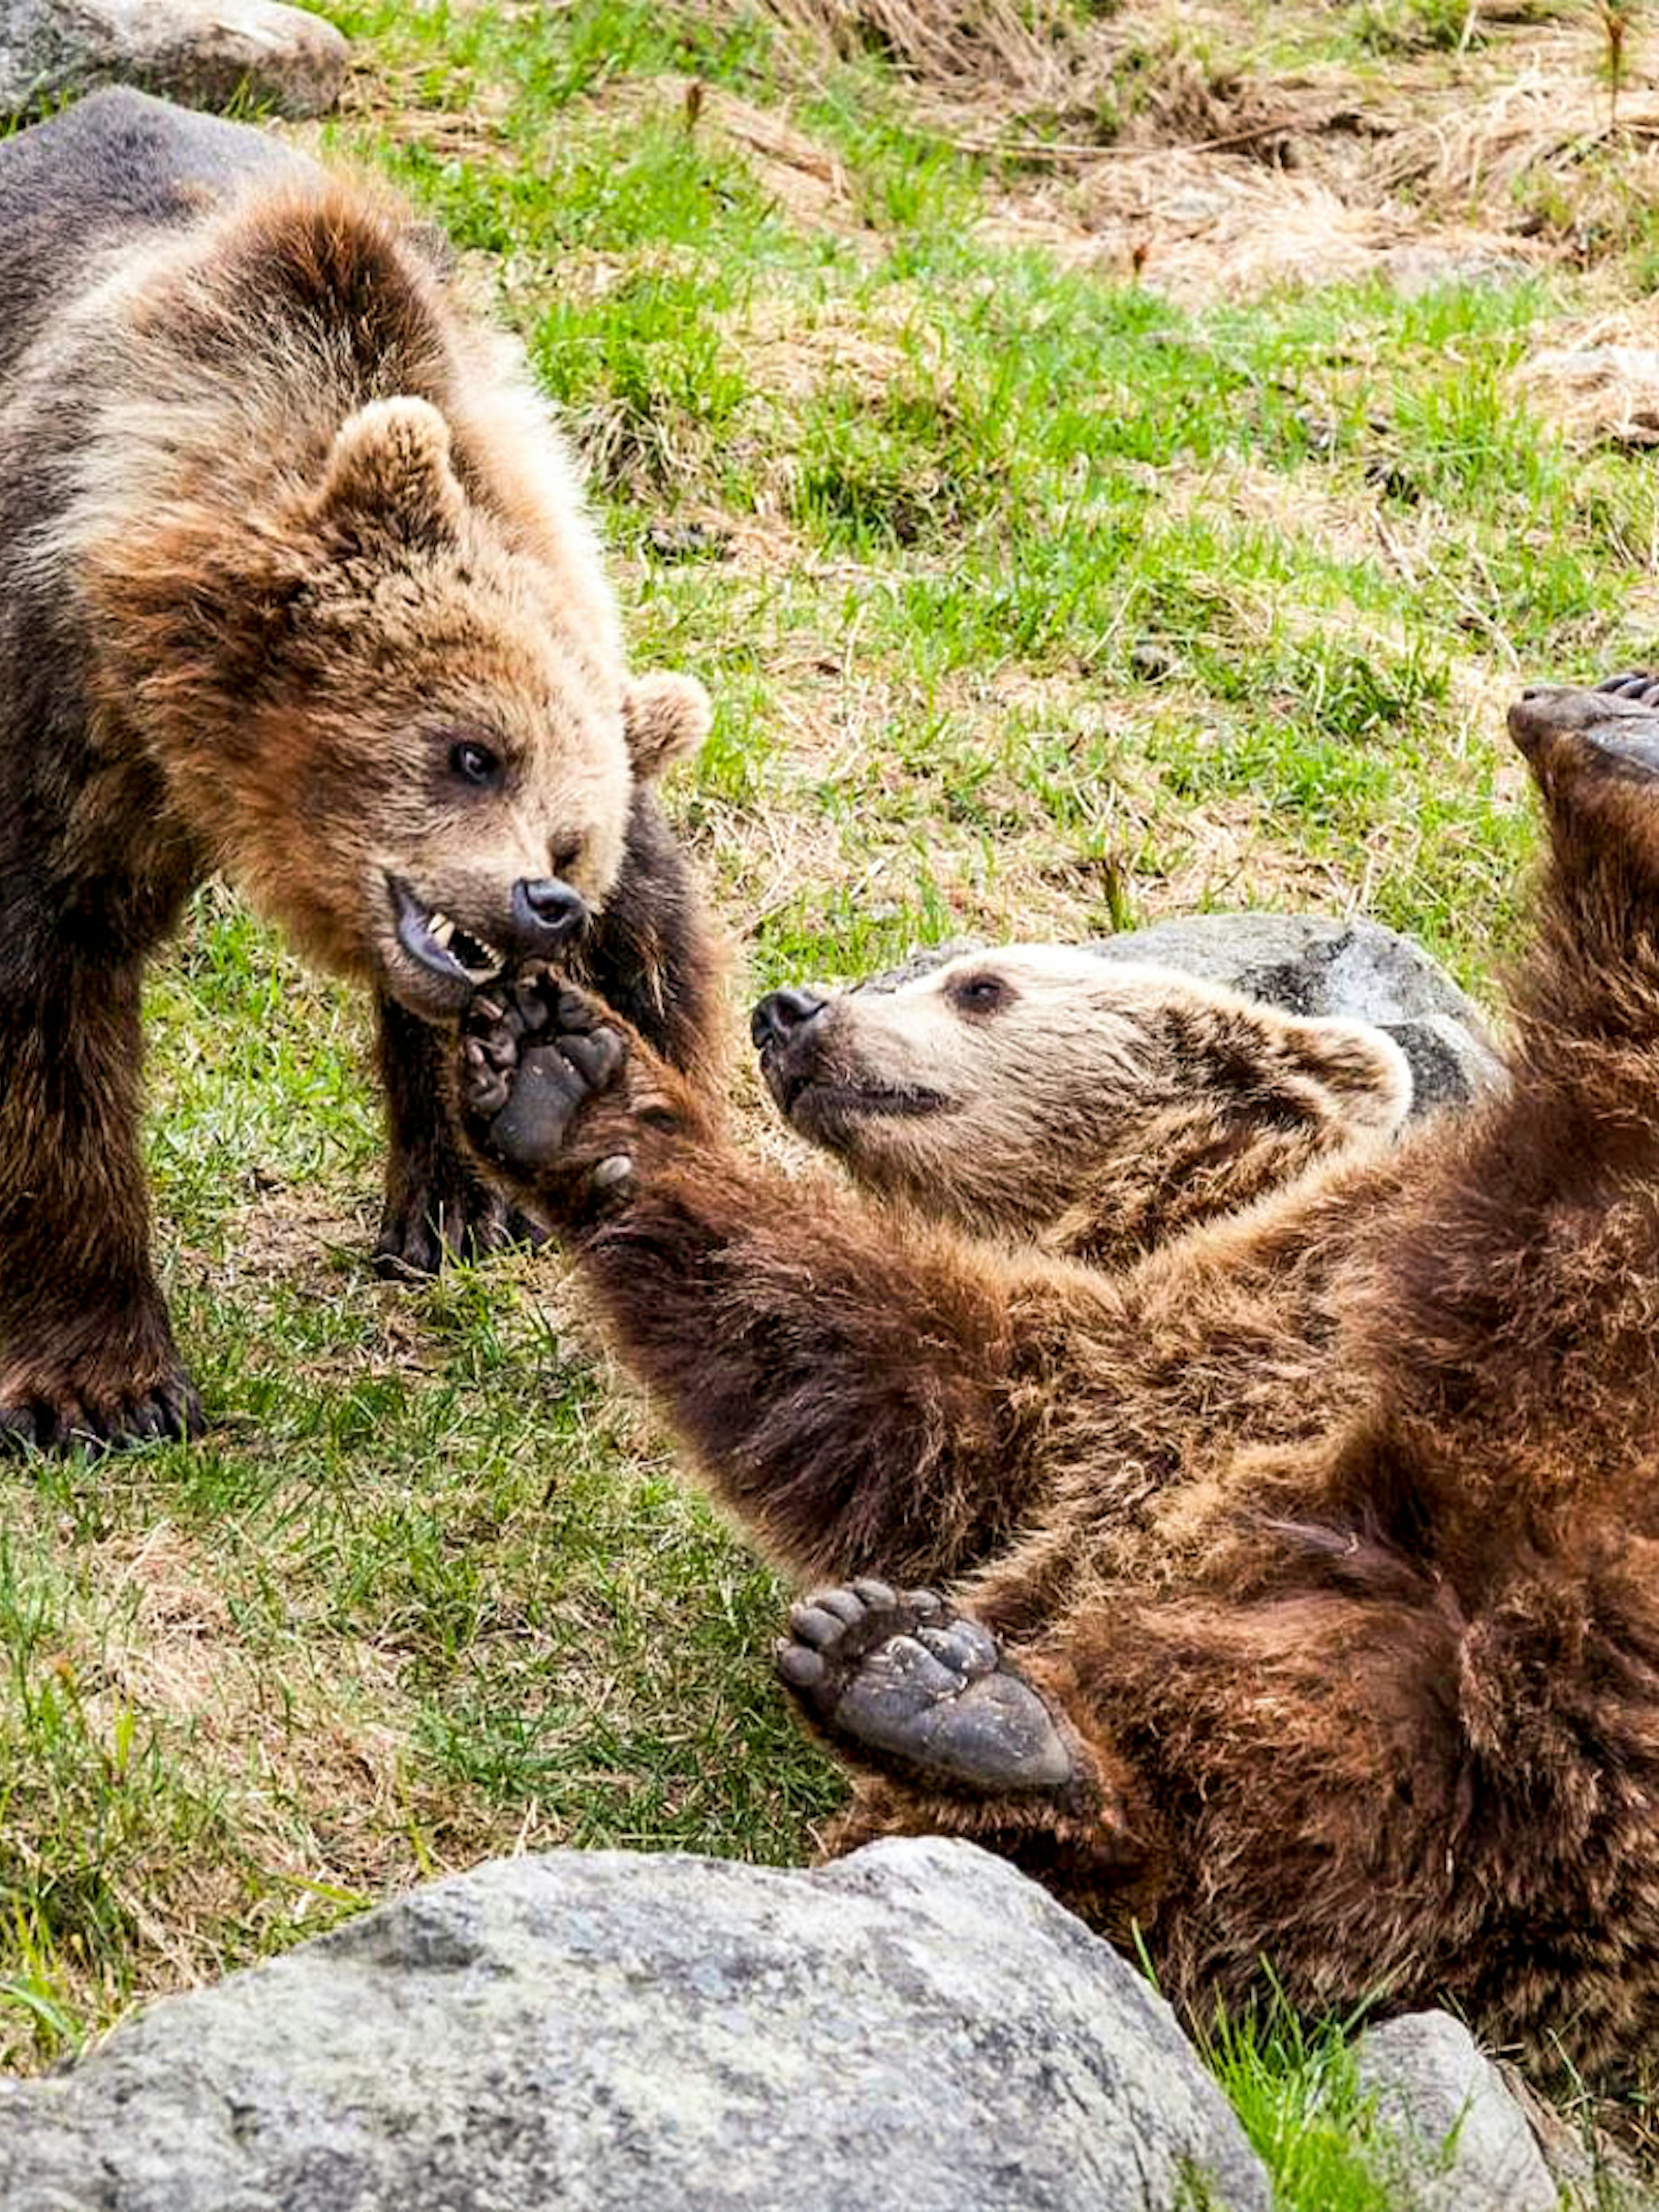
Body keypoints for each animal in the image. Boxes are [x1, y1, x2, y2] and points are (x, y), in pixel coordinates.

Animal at [0, 89, 724, 1452]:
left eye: (570, 839)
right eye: (471, 751)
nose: (541, 902)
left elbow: (650, 962)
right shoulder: (54, 712)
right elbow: (41, 1015)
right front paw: (101, 1389)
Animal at [452, 673, 1659, 2070]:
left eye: (980, 984)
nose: (793, 1008)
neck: (1162, 1212)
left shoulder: (1253, 1302)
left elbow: (898, 1351)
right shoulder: (1085, 1411)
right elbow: (875, 1389)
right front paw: (562, 1070)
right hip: (1461, 1779)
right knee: (1284, 1817)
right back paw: (950, 1701)